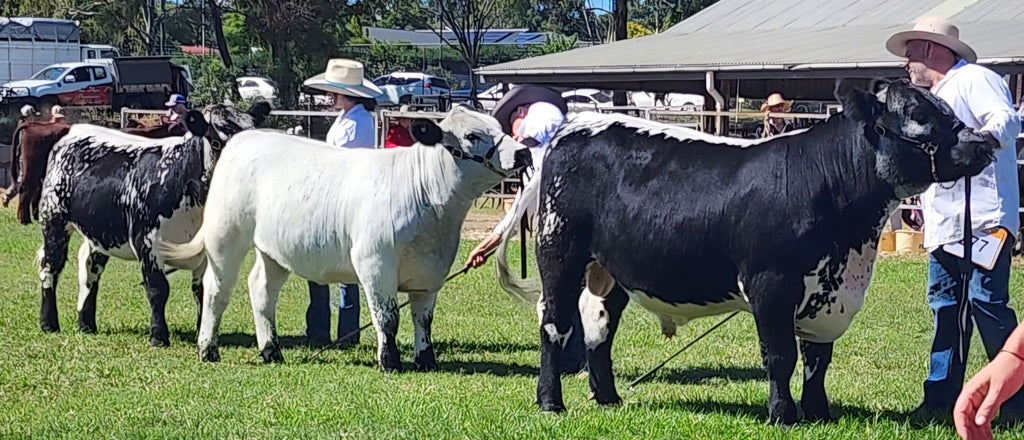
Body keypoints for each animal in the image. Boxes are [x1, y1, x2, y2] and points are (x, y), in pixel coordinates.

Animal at [36, 101, 270, 345]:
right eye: (218, 140)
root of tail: (75, 131)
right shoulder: (147, 242)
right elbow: (158, 289)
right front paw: (159, 336)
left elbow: (202, 291)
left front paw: (201, 333)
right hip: (53, 221)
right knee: (50, 266)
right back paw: (49, 323)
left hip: (99, 233)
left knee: (90, 267)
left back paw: (86, 324)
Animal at [161, 106, 528, 370]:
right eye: (473, 135)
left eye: (496, 125)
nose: (523, 153)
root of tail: (246, 139)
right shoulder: (375, 263)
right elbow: (387, 316)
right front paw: (389, 362)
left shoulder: (430, 274)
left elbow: (423, 319)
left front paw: (426, 361)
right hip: (225, 237)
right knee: (216, 289)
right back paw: (208, 349)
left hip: (273, 251)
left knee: (262, 289)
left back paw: (271, 351)